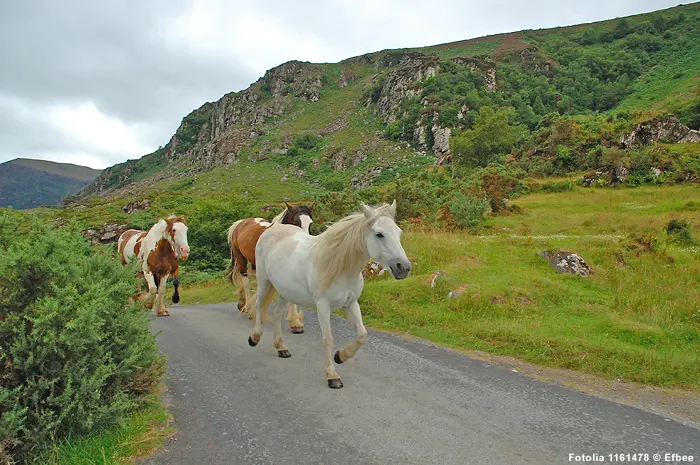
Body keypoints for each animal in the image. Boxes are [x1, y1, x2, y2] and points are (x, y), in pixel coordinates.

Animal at [226, 202, 313, 333]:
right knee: (246, 281)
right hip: (241, 259)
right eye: (296, 221)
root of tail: (240, 223)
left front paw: (295, 323)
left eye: (310, 222)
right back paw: (247, 308)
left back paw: (242, 303)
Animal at [244, 200, 411, 389]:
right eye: (379, 234)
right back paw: (254, 338)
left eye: (398, 232)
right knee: (259, 305)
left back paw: (281, 347)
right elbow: (328, 338)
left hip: (285, 290)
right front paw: (332, 376)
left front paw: (341, 356)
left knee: (278, 313)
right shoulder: (323, 306)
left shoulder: (351, 303)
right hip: (264, 281)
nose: (403, 268)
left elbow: (362, 334)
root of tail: (272, 230)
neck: (341, 267)